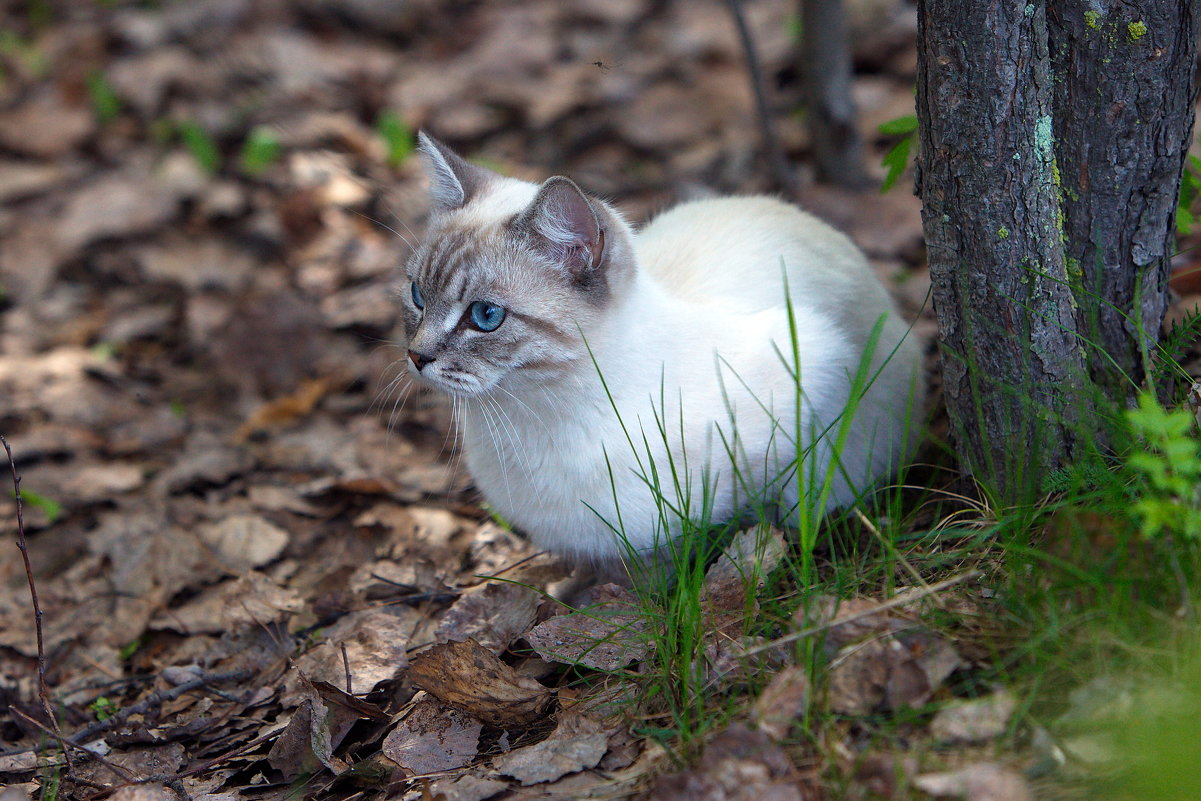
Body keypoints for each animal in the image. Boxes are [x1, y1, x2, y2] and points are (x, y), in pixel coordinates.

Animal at [398, 131, 922, 566]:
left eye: (485, 316)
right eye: (418, 295)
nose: (417, 356)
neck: (538, 417)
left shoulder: (815, 369)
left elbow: (736, 525)